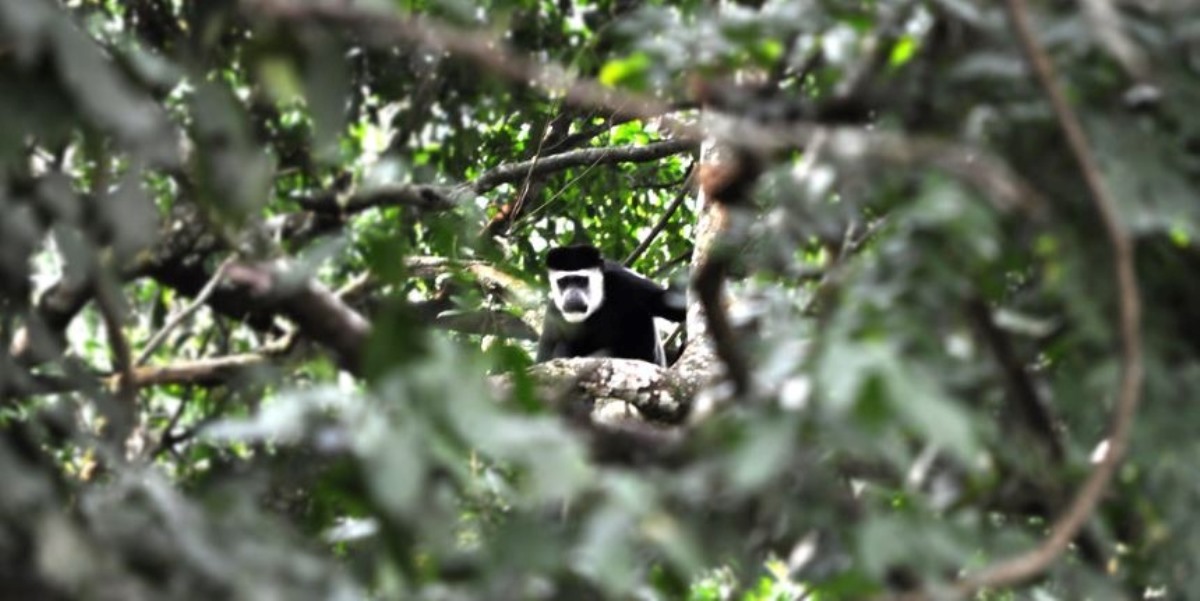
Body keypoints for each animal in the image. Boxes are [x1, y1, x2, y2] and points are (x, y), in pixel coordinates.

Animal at [535, 243, 686, 364]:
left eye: (581, 281)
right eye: (563, 282)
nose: (572, 297)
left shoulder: (625, 281)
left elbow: (667, 303)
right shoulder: (553, 313)